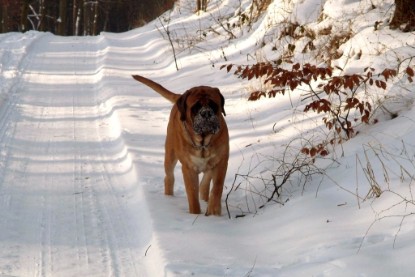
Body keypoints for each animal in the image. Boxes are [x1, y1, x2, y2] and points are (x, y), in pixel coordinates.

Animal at [132, 74, 231, 215]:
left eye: (213, 104)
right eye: (196, 107)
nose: (206, 113)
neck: (202, 143)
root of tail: (180, 96)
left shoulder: (221, 162)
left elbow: (217, 187)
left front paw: (213, 212)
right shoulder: (188, 169)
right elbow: (192, 194)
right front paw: (196, 214)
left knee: (205, 182)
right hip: (170, 155)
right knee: (169, 177)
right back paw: (168, 198)